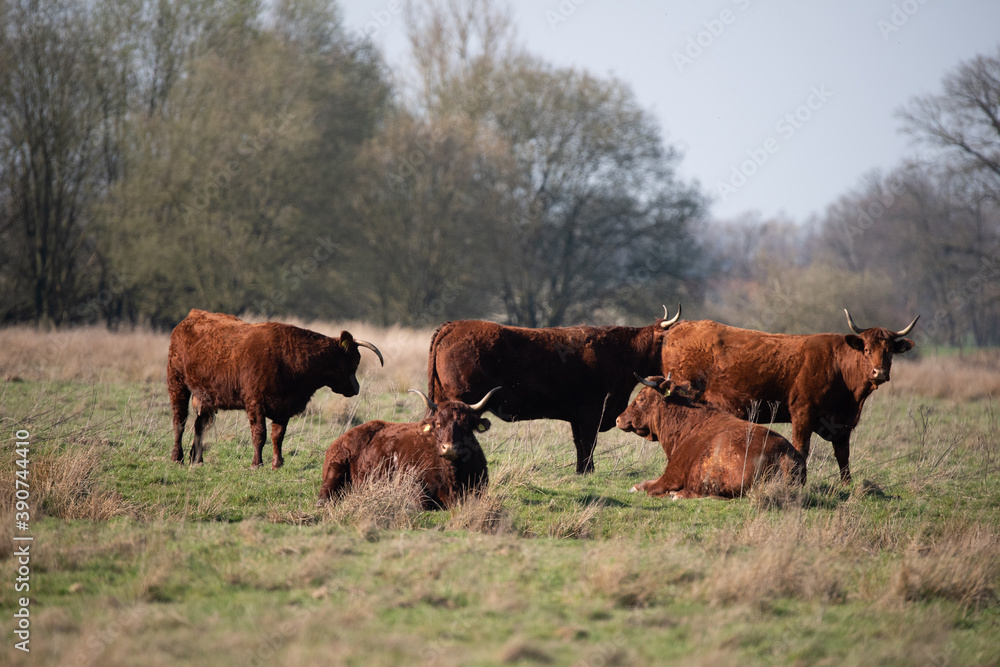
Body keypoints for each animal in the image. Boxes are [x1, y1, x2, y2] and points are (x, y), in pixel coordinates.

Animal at [167, 309, 384, 469]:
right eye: (355, 361)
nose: (356, 388)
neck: (290, 358)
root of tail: (191, 316)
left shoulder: (283, 408)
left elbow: (277, 436)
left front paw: (277, 463)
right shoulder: (254, 402)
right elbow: (259, 434)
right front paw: (257, 463)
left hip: (205, 397)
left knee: (199, 425)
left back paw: (197, 460)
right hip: (177, 384)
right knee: (180, 421)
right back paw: (177, 458)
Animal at [427, 306, 682, 474]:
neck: (620, 353)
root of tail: (453, 325)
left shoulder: (577, 416)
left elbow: (580, 443)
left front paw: (582, 471)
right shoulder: (592, 412)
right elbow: (589, 442)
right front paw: (588, 470)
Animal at [659, 310, 919, 483]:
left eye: (889, 352)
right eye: (866, 349)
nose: (879, 372)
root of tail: (681, 327)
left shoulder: (843, 423)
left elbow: (843, 455)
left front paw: (847, 485)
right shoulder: (803, 413)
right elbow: (801, 449)